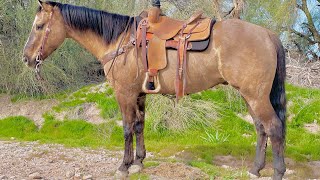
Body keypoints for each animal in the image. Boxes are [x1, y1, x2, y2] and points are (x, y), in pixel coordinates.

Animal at [23, 0, 288, 179]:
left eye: (39, 26)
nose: (26, 58)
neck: (120, 41)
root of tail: (268, 34)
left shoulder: (124, 94)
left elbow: (127, 128)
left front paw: (124, 166)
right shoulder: (139, 95)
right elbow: (140, 126)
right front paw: (139, 162)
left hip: (256, 96)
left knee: (274, 128)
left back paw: (277, 172)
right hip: (249, 96)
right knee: (261, 128)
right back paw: (255, 169)